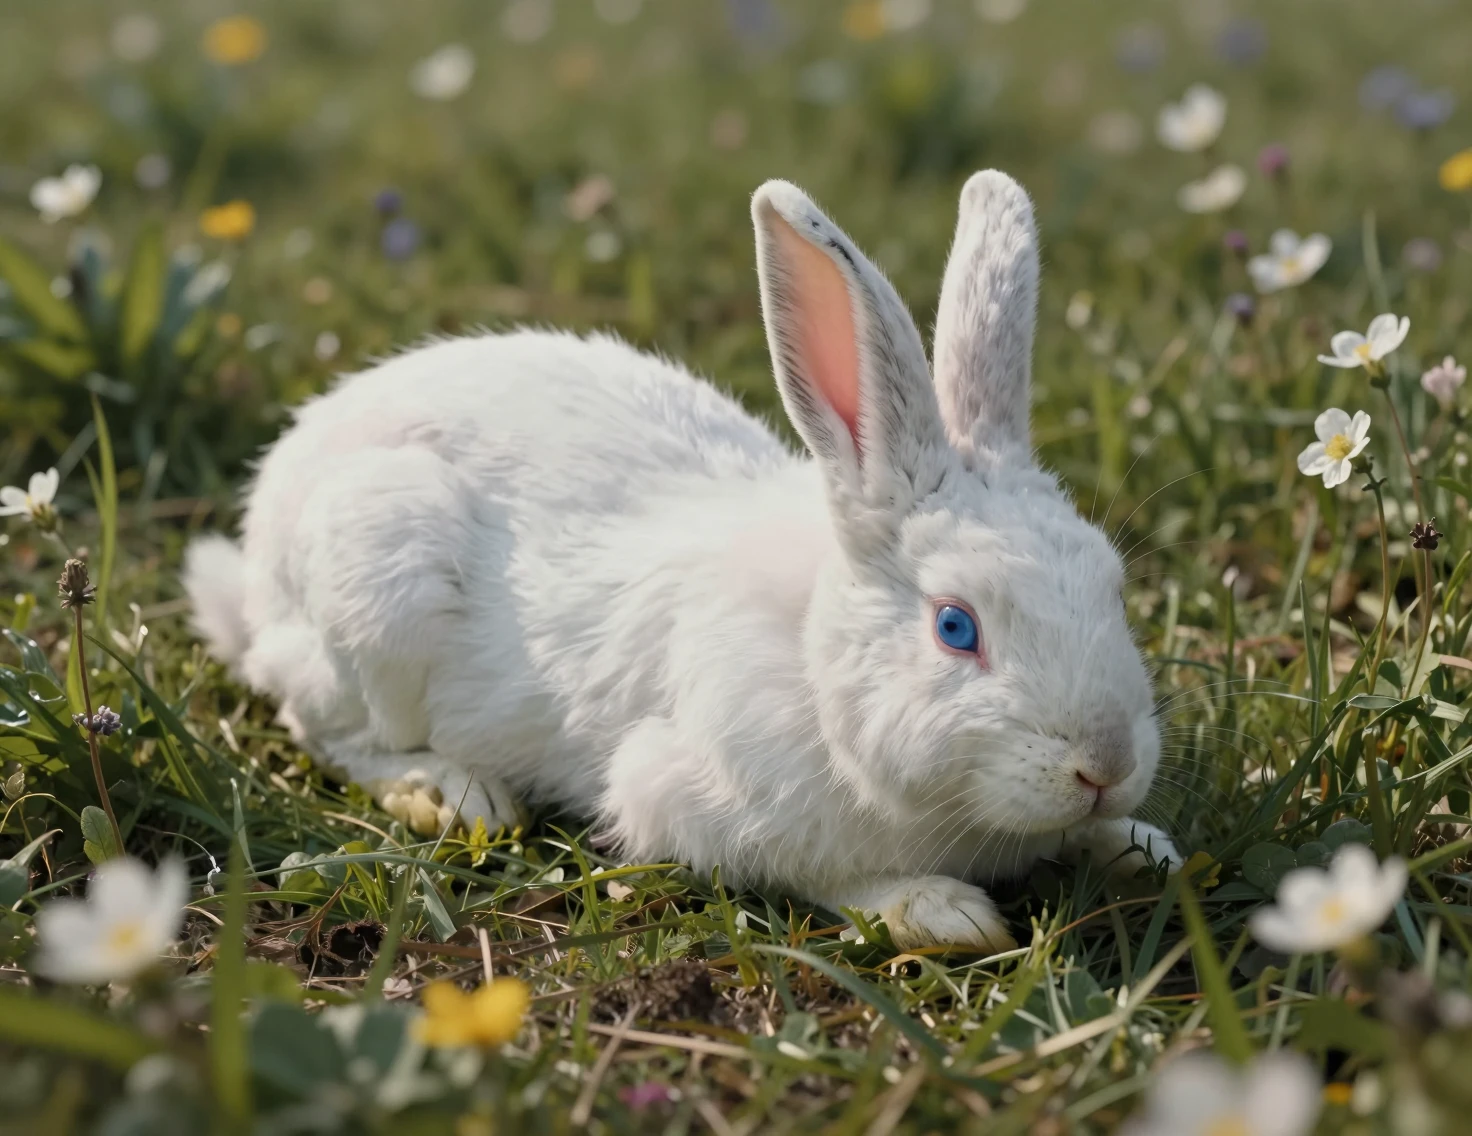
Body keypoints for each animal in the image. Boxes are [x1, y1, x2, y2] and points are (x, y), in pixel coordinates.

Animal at [184, 171, 1178, 951]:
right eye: (955, 626)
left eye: (1113, 584)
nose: (1104, 764)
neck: (816, 665)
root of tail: (258, 567)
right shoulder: (688, 798)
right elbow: (822, 876)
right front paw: (940, 914)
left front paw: (1142, 847)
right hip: (378, 589)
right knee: (330, 728)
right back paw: (454, 795)